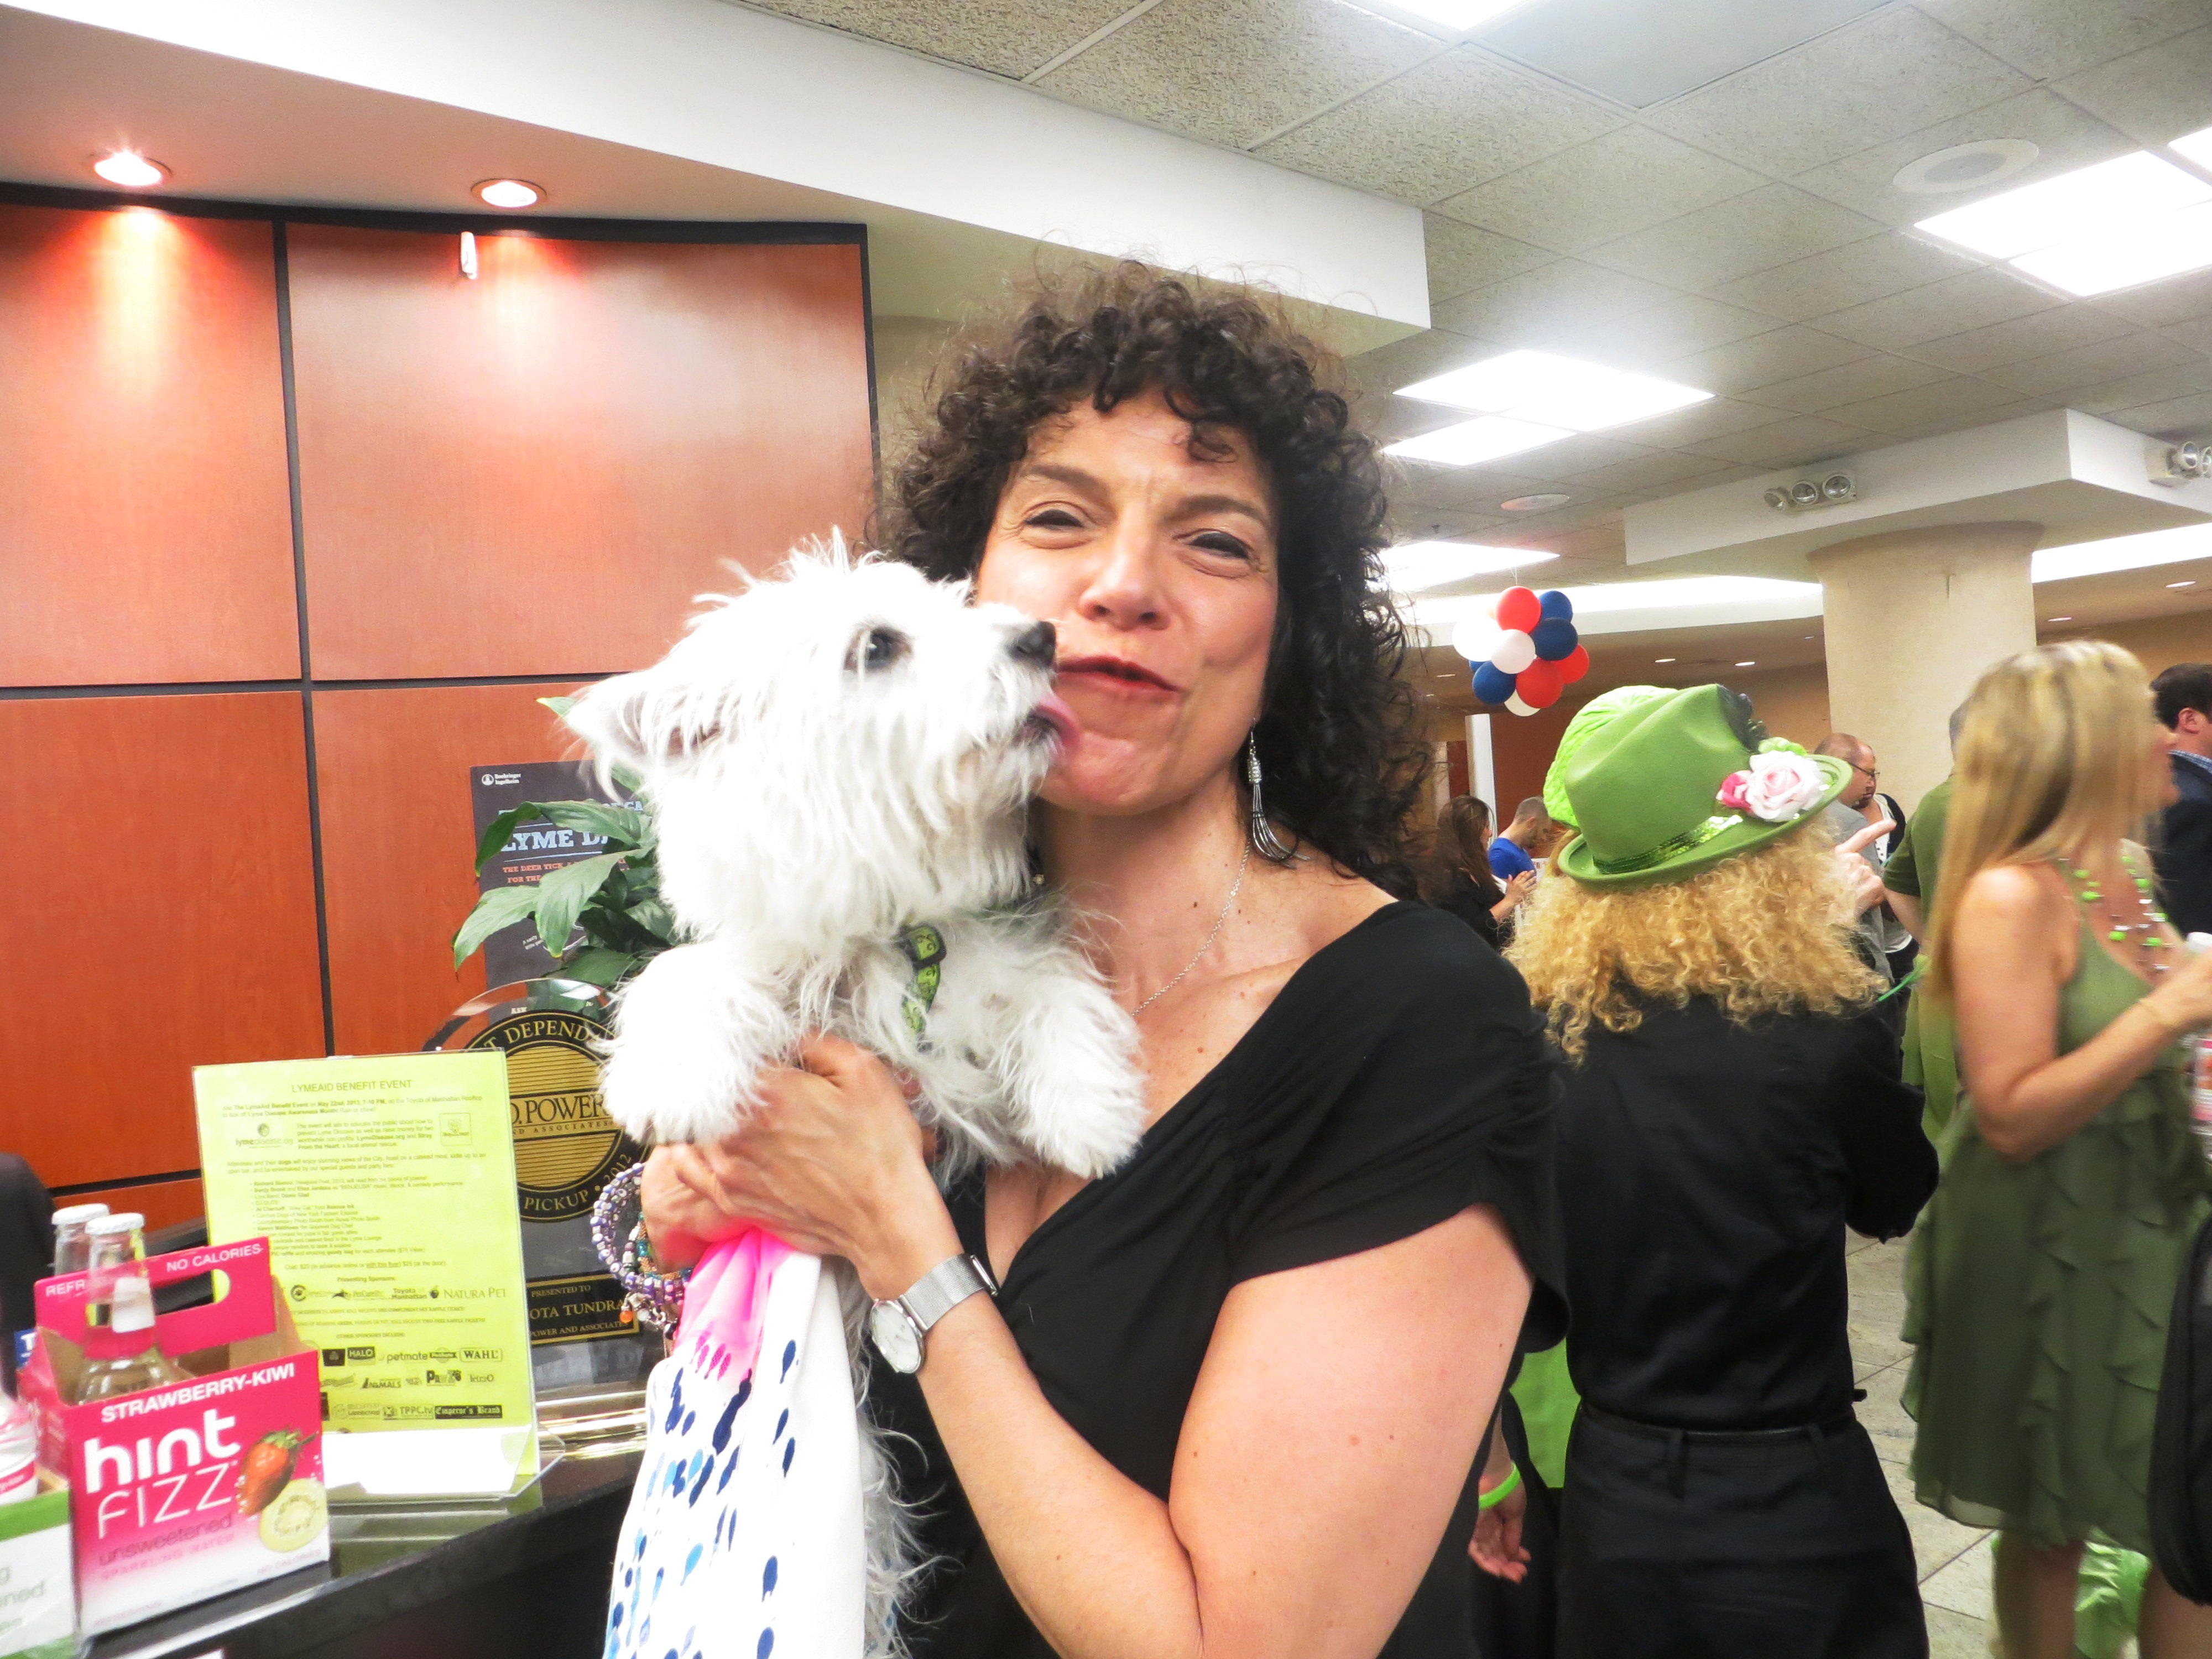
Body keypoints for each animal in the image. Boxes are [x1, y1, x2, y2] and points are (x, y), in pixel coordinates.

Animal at [569, 540, 1147, 1659]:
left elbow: (1048, 988)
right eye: (878, 647)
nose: (1040, 637)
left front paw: (1090, 1115)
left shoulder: (969, 1011)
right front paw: (677, 1078)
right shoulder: (773, 967)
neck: (885, 929)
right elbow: (696, 975)